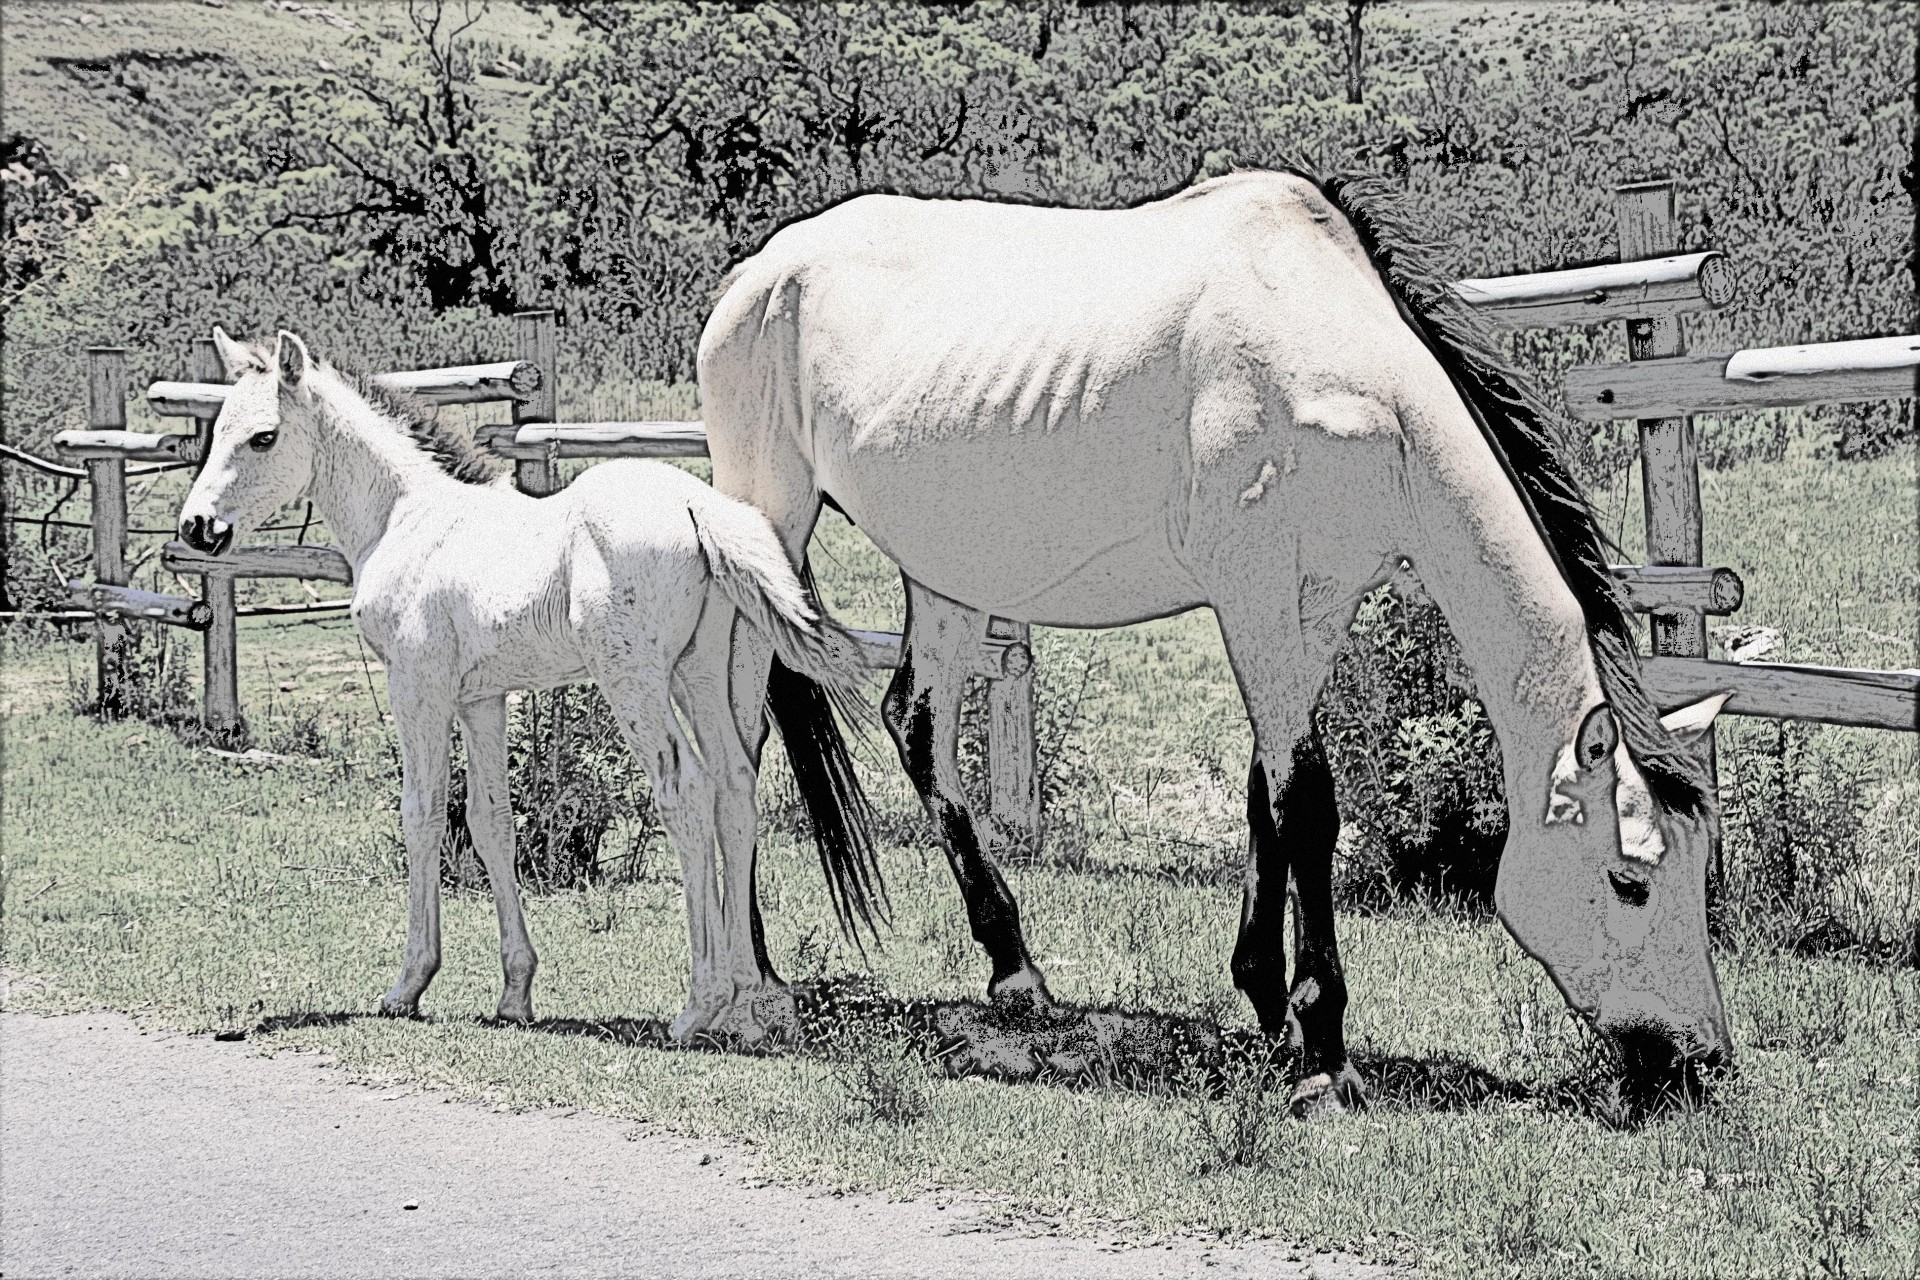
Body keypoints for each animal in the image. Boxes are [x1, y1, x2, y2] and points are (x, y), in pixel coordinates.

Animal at [176, 330, 879, 1043]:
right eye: (218, 430)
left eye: (263, 437)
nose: (197, 528)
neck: (407, 519)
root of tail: (697, 505)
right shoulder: (480, 698)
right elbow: (491, 823)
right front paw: (515, 993)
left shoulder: (418, 686)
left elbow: (423, 814)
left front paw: (408, 985)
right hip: (699, 672)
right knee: (735, 786)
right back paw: (746, 1003)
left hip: (634, 681)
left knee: (686, 791)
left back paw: (698, 1006)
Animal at [706, 169, 1743, 1113]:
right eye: (1630, 882)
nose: (1703, 1061)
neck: (1339, 367)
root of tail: (758, 273)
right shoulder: (1252, 597)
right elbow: (1309, 803)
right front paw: (1324, 1049)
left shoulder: (1317, 605)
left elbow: (1262, 792)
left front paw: (1266, 998)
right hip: (770, 523)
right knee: (736, 737)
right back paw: (750, 981)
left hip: (949, 575)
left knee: (915, 726)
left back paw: (1015, 972)